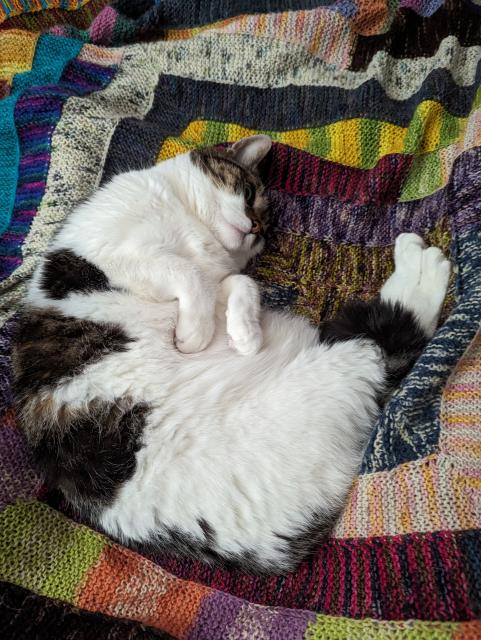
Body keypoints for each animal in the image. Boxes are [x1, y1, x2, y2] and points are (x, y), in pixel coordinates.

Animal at [13, 136, 452, 576]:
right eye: (251, 195)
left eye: (264, 231)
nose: (256, 227)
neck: (192, 226)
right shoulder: (124, 255)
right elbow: (186, 272)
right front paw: (196, 334)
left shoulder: (215, 276)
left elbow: (238, 282)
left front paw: (244, 333)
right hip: (334, 374)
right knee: (387, 337)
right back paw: (423, 265)